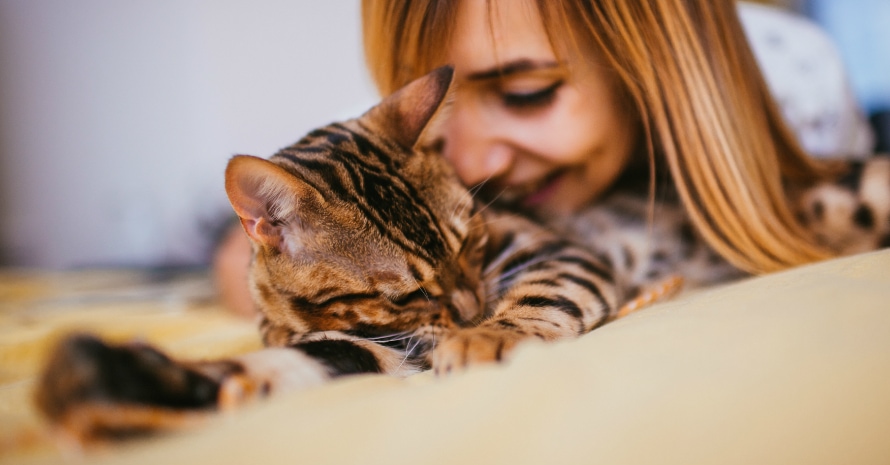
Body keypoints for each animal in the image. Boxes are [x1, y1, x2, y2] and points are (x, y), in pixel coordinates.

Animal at [34, 66, 888, 442]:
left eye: (473, 238)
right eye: (407, 291)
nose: (474, 305)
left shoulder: (555, 251)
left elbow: (538, 296)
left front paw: (491, 334)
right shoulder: (372, 346)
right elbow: (266, 367)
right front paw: (107, 379)